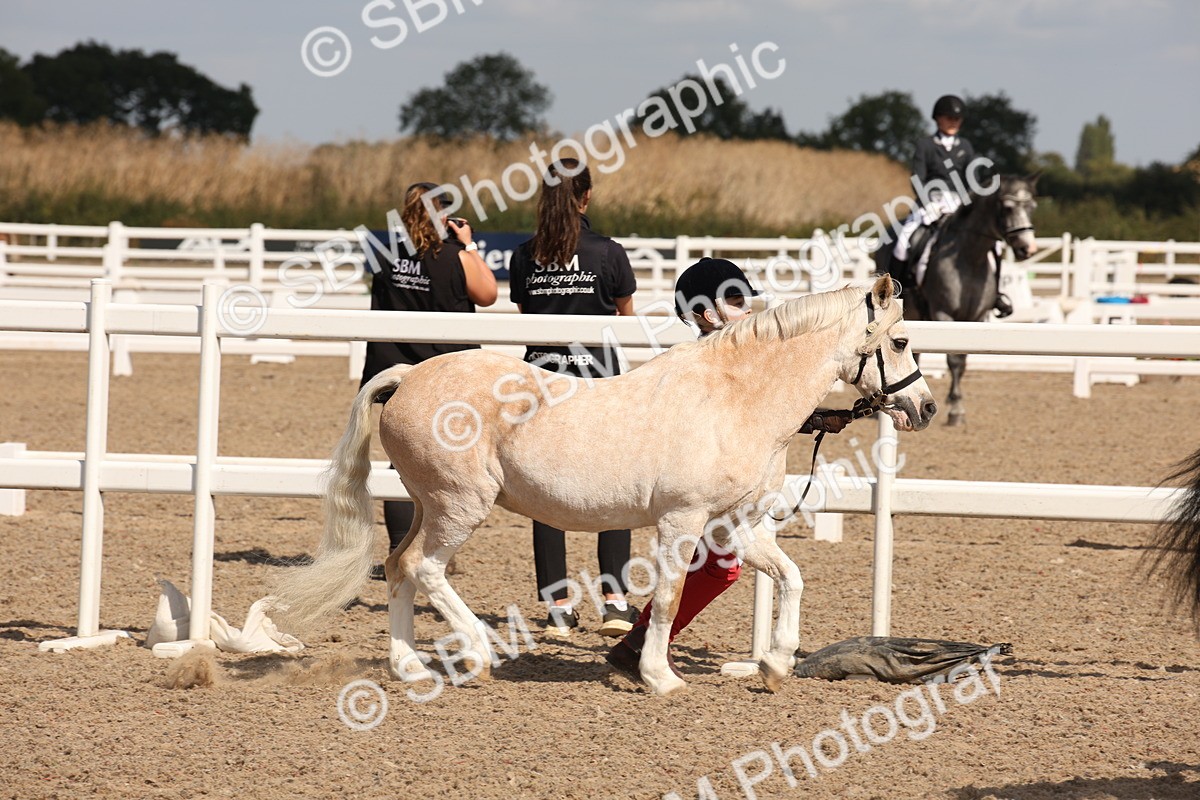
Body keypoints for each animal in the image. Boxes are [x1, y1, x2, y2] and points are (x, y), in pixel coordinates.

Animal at [272, 275, 937, 696]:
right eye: (902, 340)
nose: (925, 407)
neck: (734, 399)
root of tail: (410, 376)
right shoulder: (682, 521)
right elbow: (667, 598)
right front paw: (661, 678)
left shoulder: (736, 527)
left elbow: (791, 577)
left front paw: (774, 665)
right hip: (460, 506)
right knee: (424, 569)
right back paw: (479, 654)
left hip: (427, 507)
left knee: (399, 567)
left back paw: (409, 667)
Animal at [874, 174, 1040, 426]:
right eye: (1008, 207)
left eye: (1031, 207)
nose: (1027, 249)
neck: (970, 260)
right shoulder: (945, 314)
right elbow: (952, 360)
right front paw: (954, 409)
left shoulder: (976, 318)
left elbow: (961, 362)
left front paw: (957, 406)